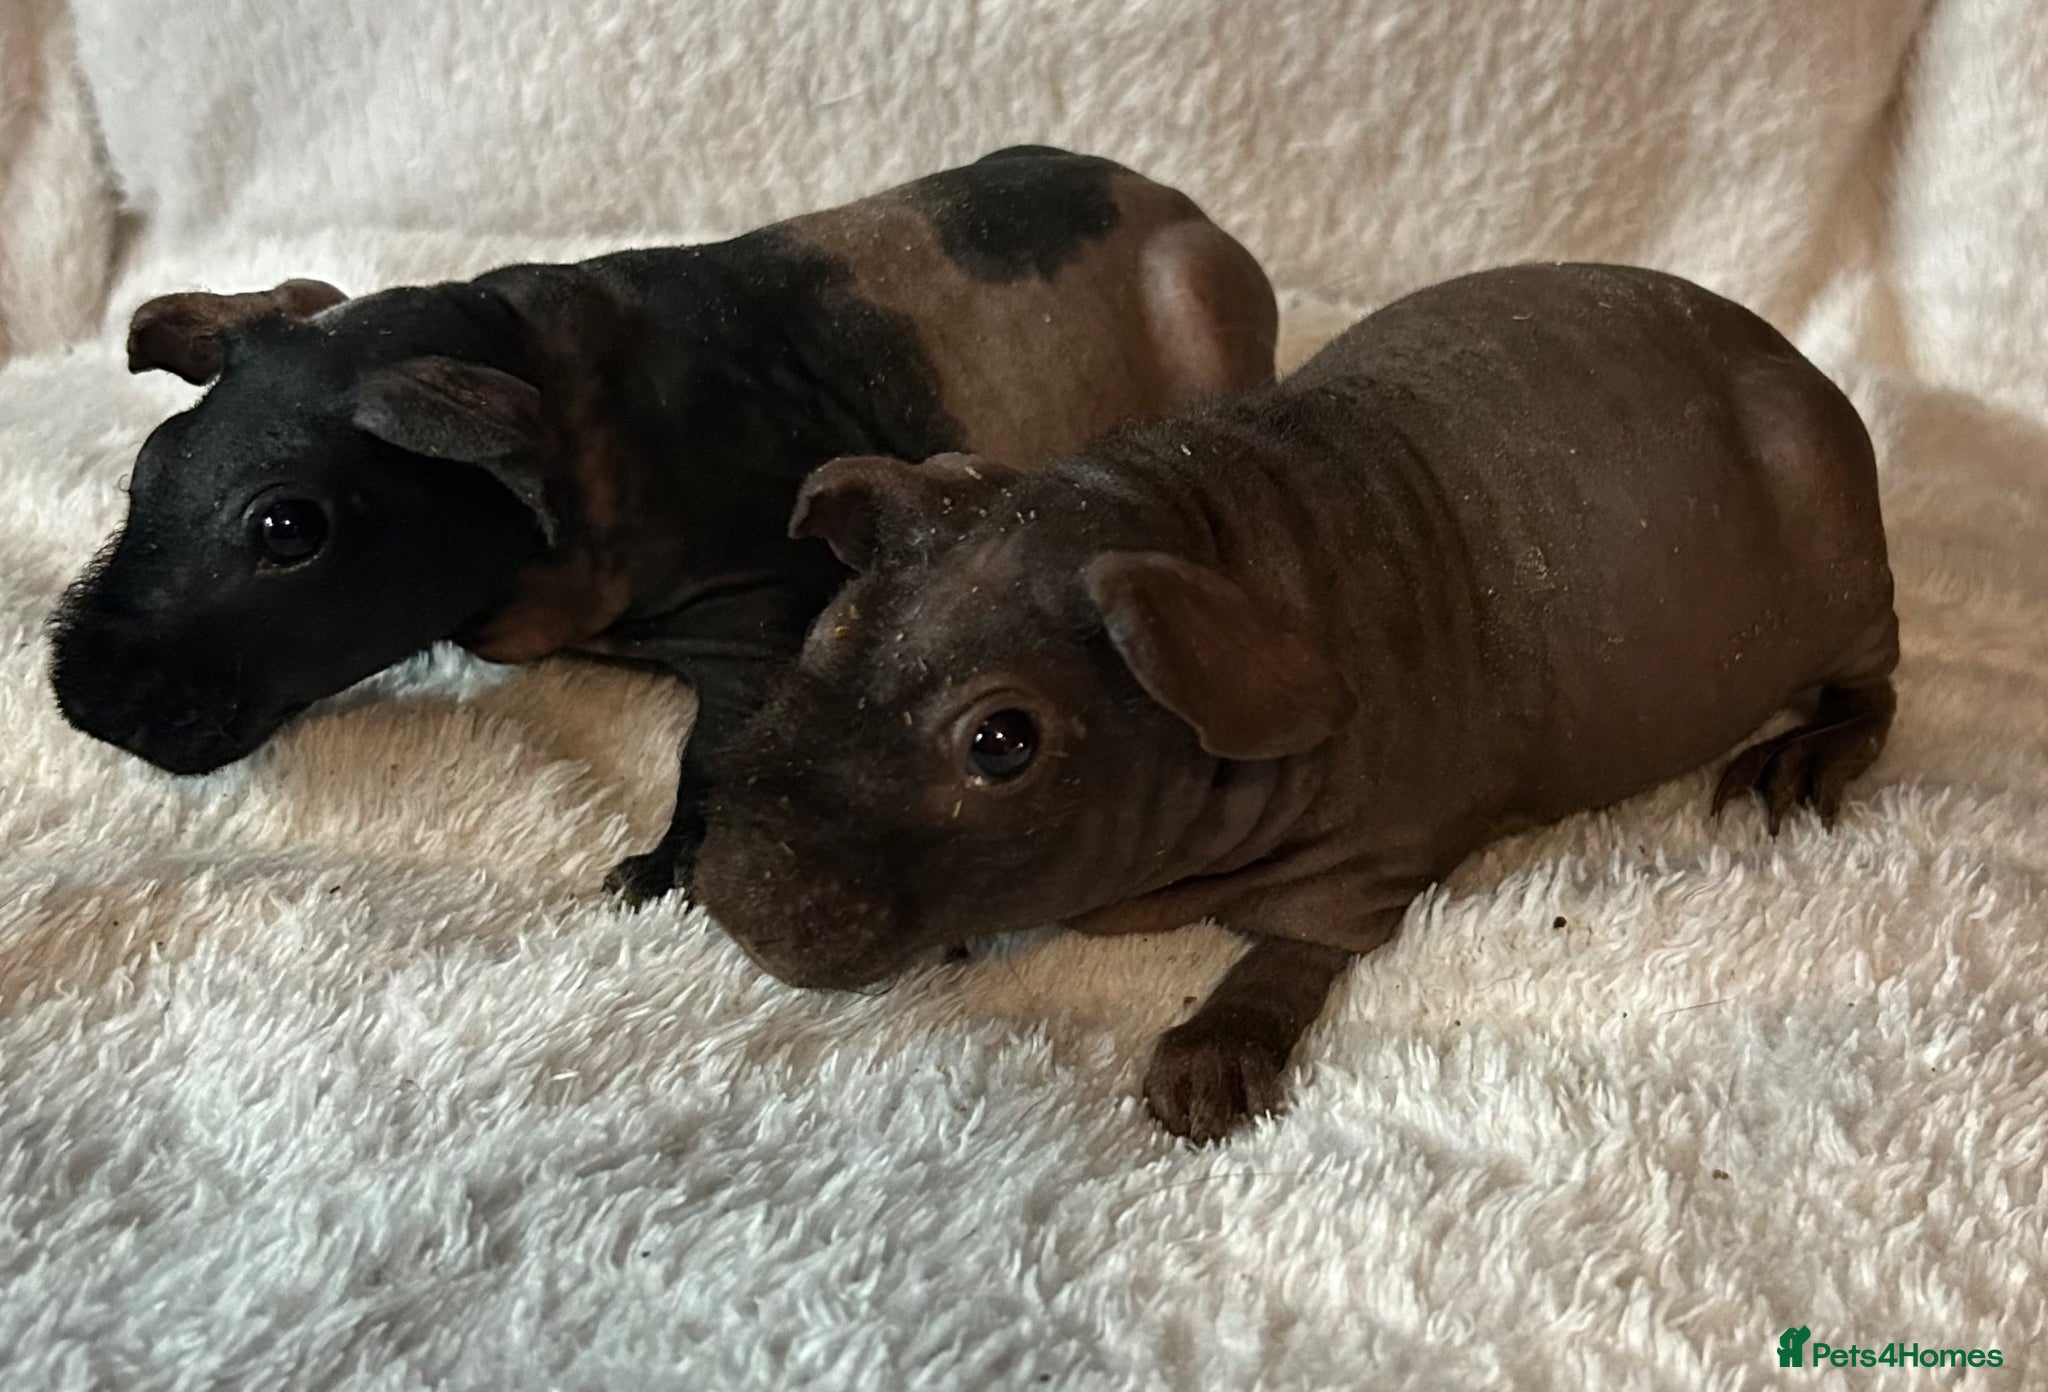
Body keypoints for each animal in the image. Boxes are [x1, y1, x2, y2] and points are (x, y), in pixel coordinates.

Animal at [46, 146, 1277, 900]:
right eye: (148, 467)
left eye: (287, 529)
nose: (84, 702)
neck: (513, 349)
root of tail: (1192, 215)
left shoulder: (762, 605)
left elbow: (720, 743)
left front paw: (661, 868)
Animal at [691, 262, 1899, 1142]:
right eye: (827, 629)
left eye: (1000, 740)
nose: (730, 895)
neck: (1203, 525)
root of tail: (1795, 363)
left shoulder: (1378, 852)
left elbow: (1296, 946)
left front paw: (1205, 1068)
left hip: (1844, 572)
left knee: (1875, 686)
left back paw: (1801, 759)